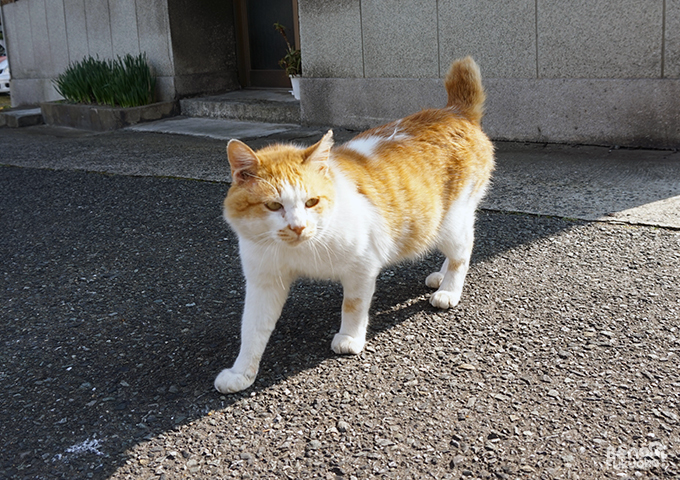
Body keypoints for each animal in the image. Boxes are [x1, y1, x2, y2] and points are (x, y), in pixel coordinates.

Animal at [216, 57, 494, 394]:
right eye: (273, 206)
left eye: (311, 202)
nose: (297, 227)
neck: (302, 249)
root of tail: (454, 110)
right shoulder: (264, 280)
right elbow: (252, 329)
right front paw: (241, 372)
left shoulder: (363, 265)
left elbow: (353, 304)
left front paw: (349, 338)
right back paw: (440, 277)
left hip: (449, 221)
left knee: (462, 251)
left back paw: (449, 289)